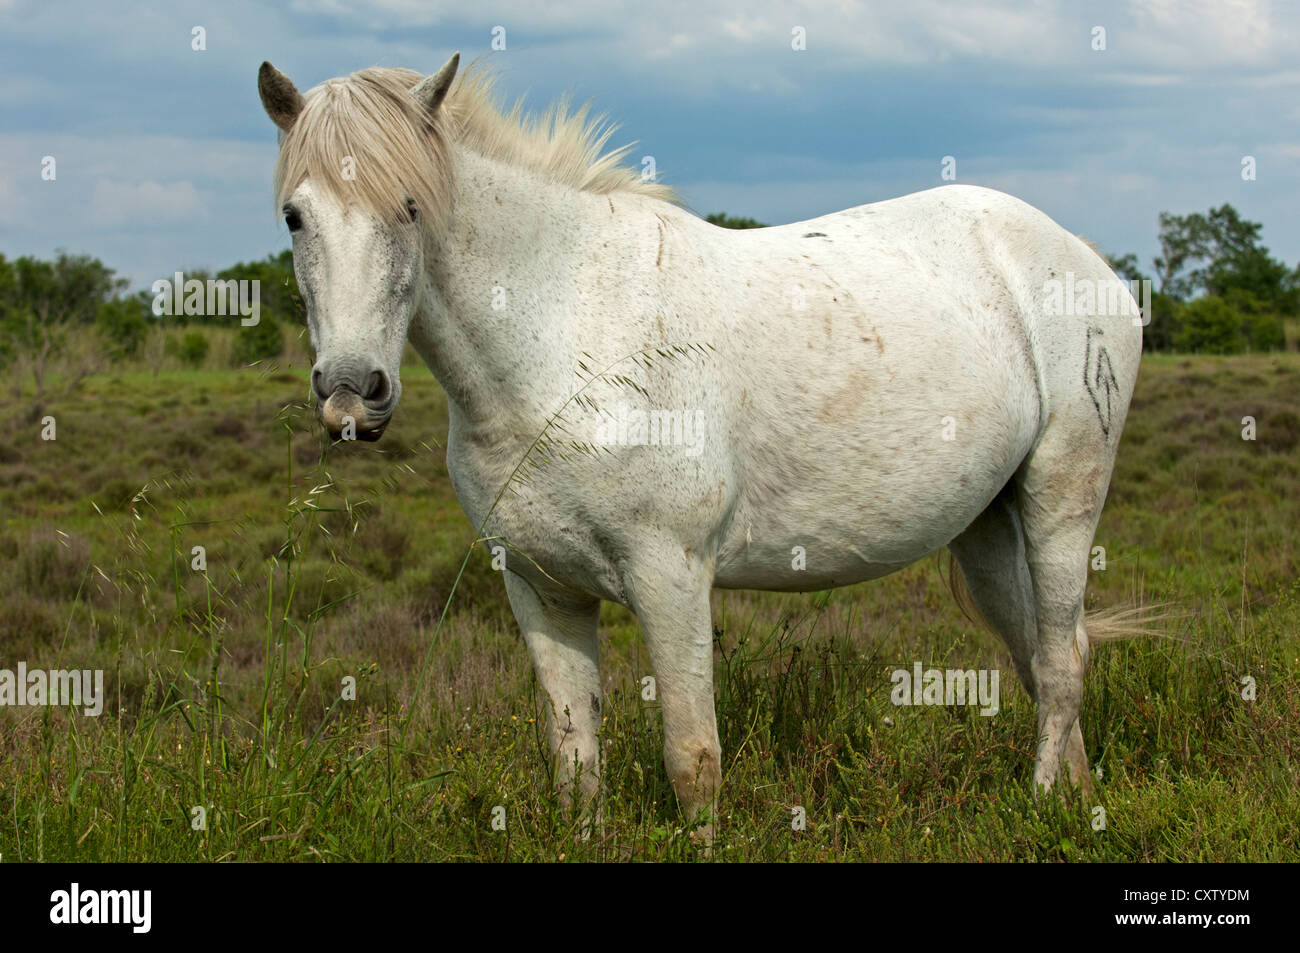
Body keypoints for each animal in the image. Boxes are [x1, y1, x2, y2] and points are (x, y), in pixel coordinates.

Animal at [258, 55, 1144, 837]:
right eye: (295, 216)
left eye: (411, 206)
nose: (351, 391)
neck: (566, 330)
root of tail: (1084, 258)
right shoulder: (541, 588)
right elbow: (575, 757)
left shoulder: (671, 576)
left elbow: (693, 757)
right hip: (987, 528)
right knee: (1044, 653)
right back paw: (1075, 799)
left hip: (1062, 501)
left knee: (1060, 662)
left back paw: (1042, 806)